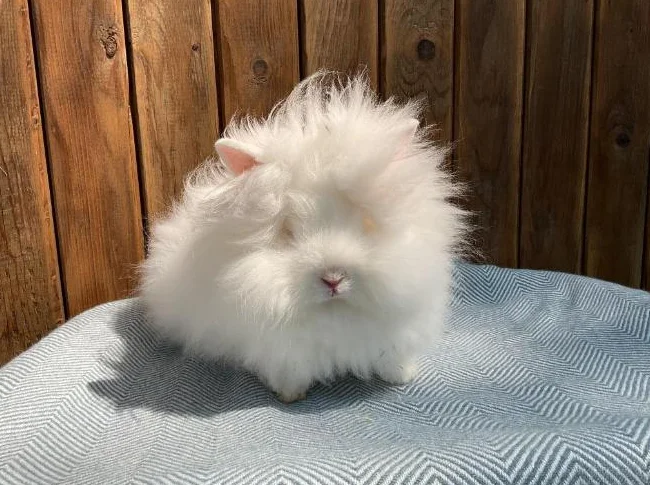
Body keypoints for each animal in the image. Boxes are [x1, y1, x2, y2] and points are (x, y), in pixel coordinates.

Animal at [139, 72, 467, 403]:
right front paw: (289, 395)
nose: (334, 279)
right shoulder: (280, 352)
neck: (335, 315)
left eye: (364, 223)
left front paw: (401, 376)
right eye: (288, 232)